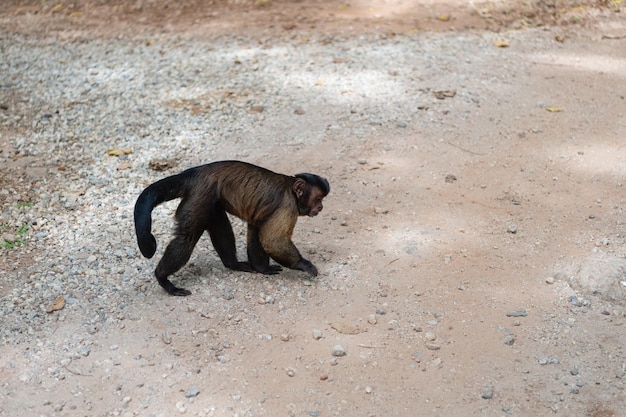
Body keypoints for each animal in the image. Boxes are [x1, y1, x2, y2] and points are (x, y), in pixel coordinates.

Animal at [133, 160, 330, 296]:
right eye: (318, 199)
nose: (321, 207)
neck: (291, 189)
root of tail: (193, 172)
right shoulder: (288, 206)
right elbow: (272, 240)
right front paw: (303, 264)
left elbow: (257, 231)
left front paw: (262, 268)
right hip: (200, 195)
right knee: (186, 238)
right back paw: (162, 278)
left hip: (210, 200)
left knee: (219, 227)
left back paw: (232, 264)